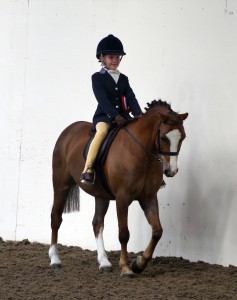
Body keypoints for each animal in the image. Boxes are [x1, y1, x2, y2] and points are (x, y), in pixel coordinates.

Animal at [49, 99, 188, 278]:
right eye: (164, 137)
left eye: (182, 137)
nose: (172, 171)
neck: (139, 151)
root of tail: (68, 130)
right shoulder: (122, 198)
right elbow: (124, 233)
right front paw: (126, 268)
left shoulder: (148, 197)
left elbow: (157, 231)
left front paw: (139, 263)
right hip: (61, 185)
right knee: (55, 218)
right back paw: (55, 260)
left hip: (101, 194)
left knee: (97, 223)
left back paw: (104, 262)